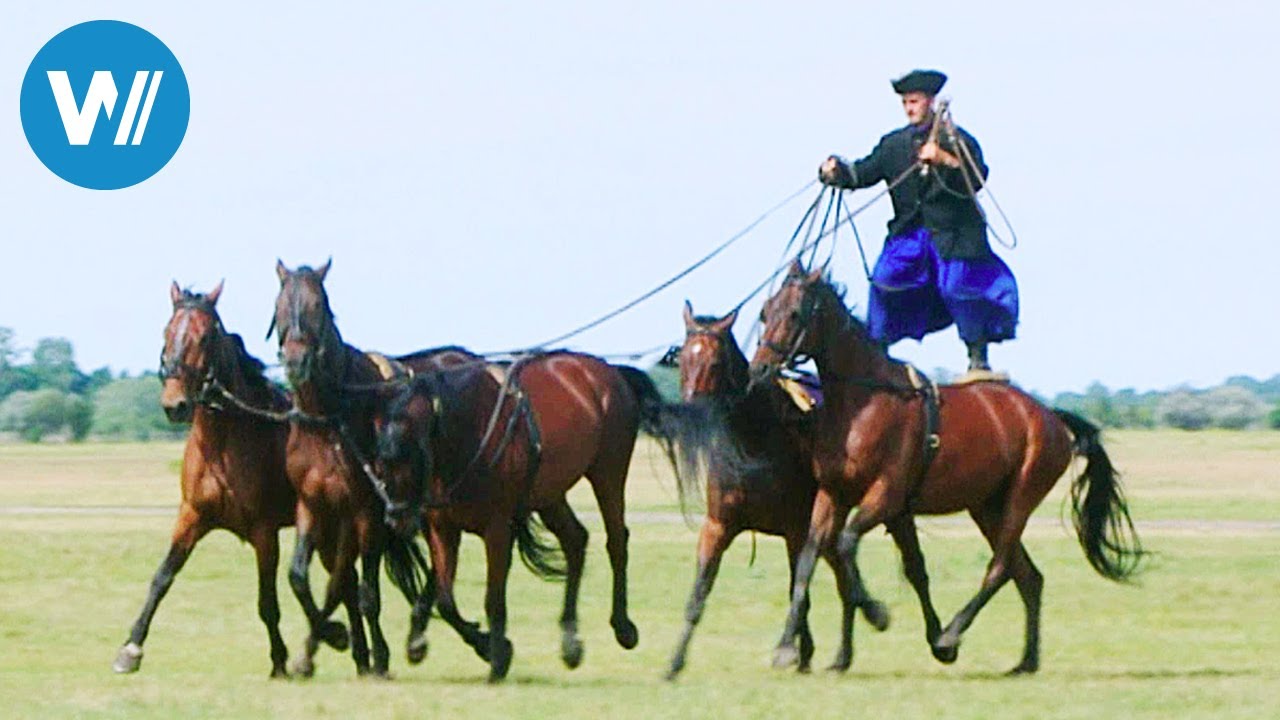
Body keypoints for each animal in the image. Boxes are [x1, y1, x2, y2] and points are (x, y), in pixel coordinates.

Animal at [112, 279, 294, 671]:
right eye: (167, 332)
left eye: (206, 336)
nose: (175, 405)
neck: (222, 446)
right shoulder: (192, 517)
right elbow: (162, 578)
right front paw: (131, 648)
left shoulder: (264, 532)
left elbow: (267, 601)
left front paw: (280, 660)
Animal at [271, 260, 471, 676]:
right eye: (280, 305)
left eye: (317, 305)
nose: (296, 362)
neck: (327, 421)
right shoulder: (314, 506)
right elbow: (302, 578)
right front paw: (331, 637)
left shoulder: (368, 513)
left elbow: (367, 593)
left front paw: (377, 656)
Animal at [373, 348, 680, 676]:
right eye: (381, 461)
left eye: (414, 455)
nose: (396, 517)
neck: (469, 435)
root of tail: (609, 372)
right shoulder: (442, 530)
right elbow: (445, 599)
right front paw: (460, 644)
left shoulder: (497, 530)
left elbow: (493, 598)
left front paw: (498, 657)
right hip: (550, 495)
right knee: (575, 540)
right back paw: (570, 640)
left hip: (608, 472)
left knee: (616, 541)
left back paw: (623, 627)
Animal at [660, 298, 890, 676]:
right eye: (684, 361)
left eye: (714, 362)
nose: (690, 411)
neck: (754, 439)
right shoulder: (718, 526)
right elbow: (699, 593)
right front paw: (674, 662)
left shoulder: (797, 530)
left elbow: (800, 588)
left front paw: (797, 651)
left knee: (846, 582)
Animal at [747, 262, 1141, 671]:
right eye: (765, 312)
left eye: (795, 313)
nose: (759, 369)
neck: (864, 403)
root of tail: (1048, 415)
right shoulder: (834, 495)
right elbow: (810, 559)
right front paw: (789, 646)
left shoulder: (886, 498)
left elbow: (847, 544)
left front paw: (876, 613)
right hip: (987, 507)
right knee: (1028, 576)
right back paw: (1025, 660)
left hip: (1019, 500)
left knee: (1001, 568)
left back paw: (951, 634)